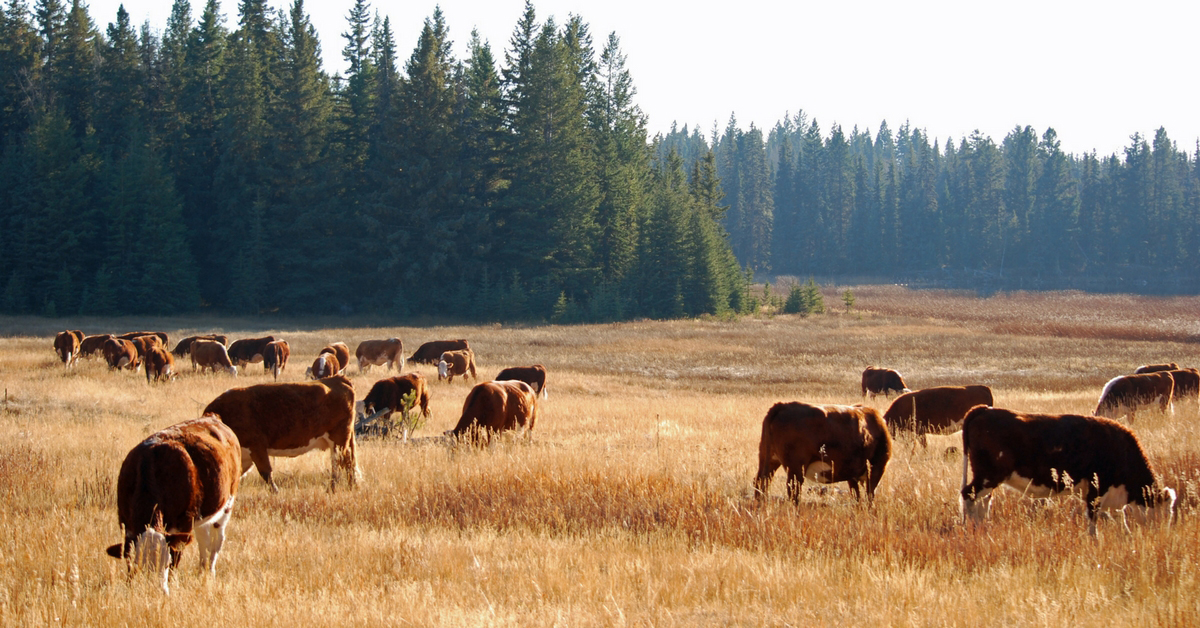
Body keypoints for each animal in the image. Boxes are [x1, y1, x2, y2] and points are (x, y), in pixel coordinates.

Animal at [105, 417, 241, 595]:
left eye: (166, 563)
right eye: (139, 565)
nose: (157, 591)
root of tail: (212, 417)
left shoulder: (182, 524)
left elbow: (177, 556)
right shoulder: (125, 522)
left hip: (226, 505)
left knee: (216, 541)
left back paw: (209, 572)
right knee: (203, 539)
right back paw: (201, 570)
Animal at [201, 374, 357, 492]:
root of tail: (337, 379)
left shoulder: (256, 447)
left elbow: (266, 473)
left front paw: (276, 492)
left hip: (338, 440)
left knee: (339, 463)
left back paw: (332, 489)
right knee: (348, 461)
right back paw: (351, 486)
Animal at [748, 405, 892, 504]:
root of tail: (782, 405)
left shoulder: (852, 476)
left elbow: (856, 495)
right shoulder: (876, 468)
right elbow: (869, 495)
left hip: (769, 458)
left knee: (761, 482)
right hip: (795, 468)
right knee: (793, 490)